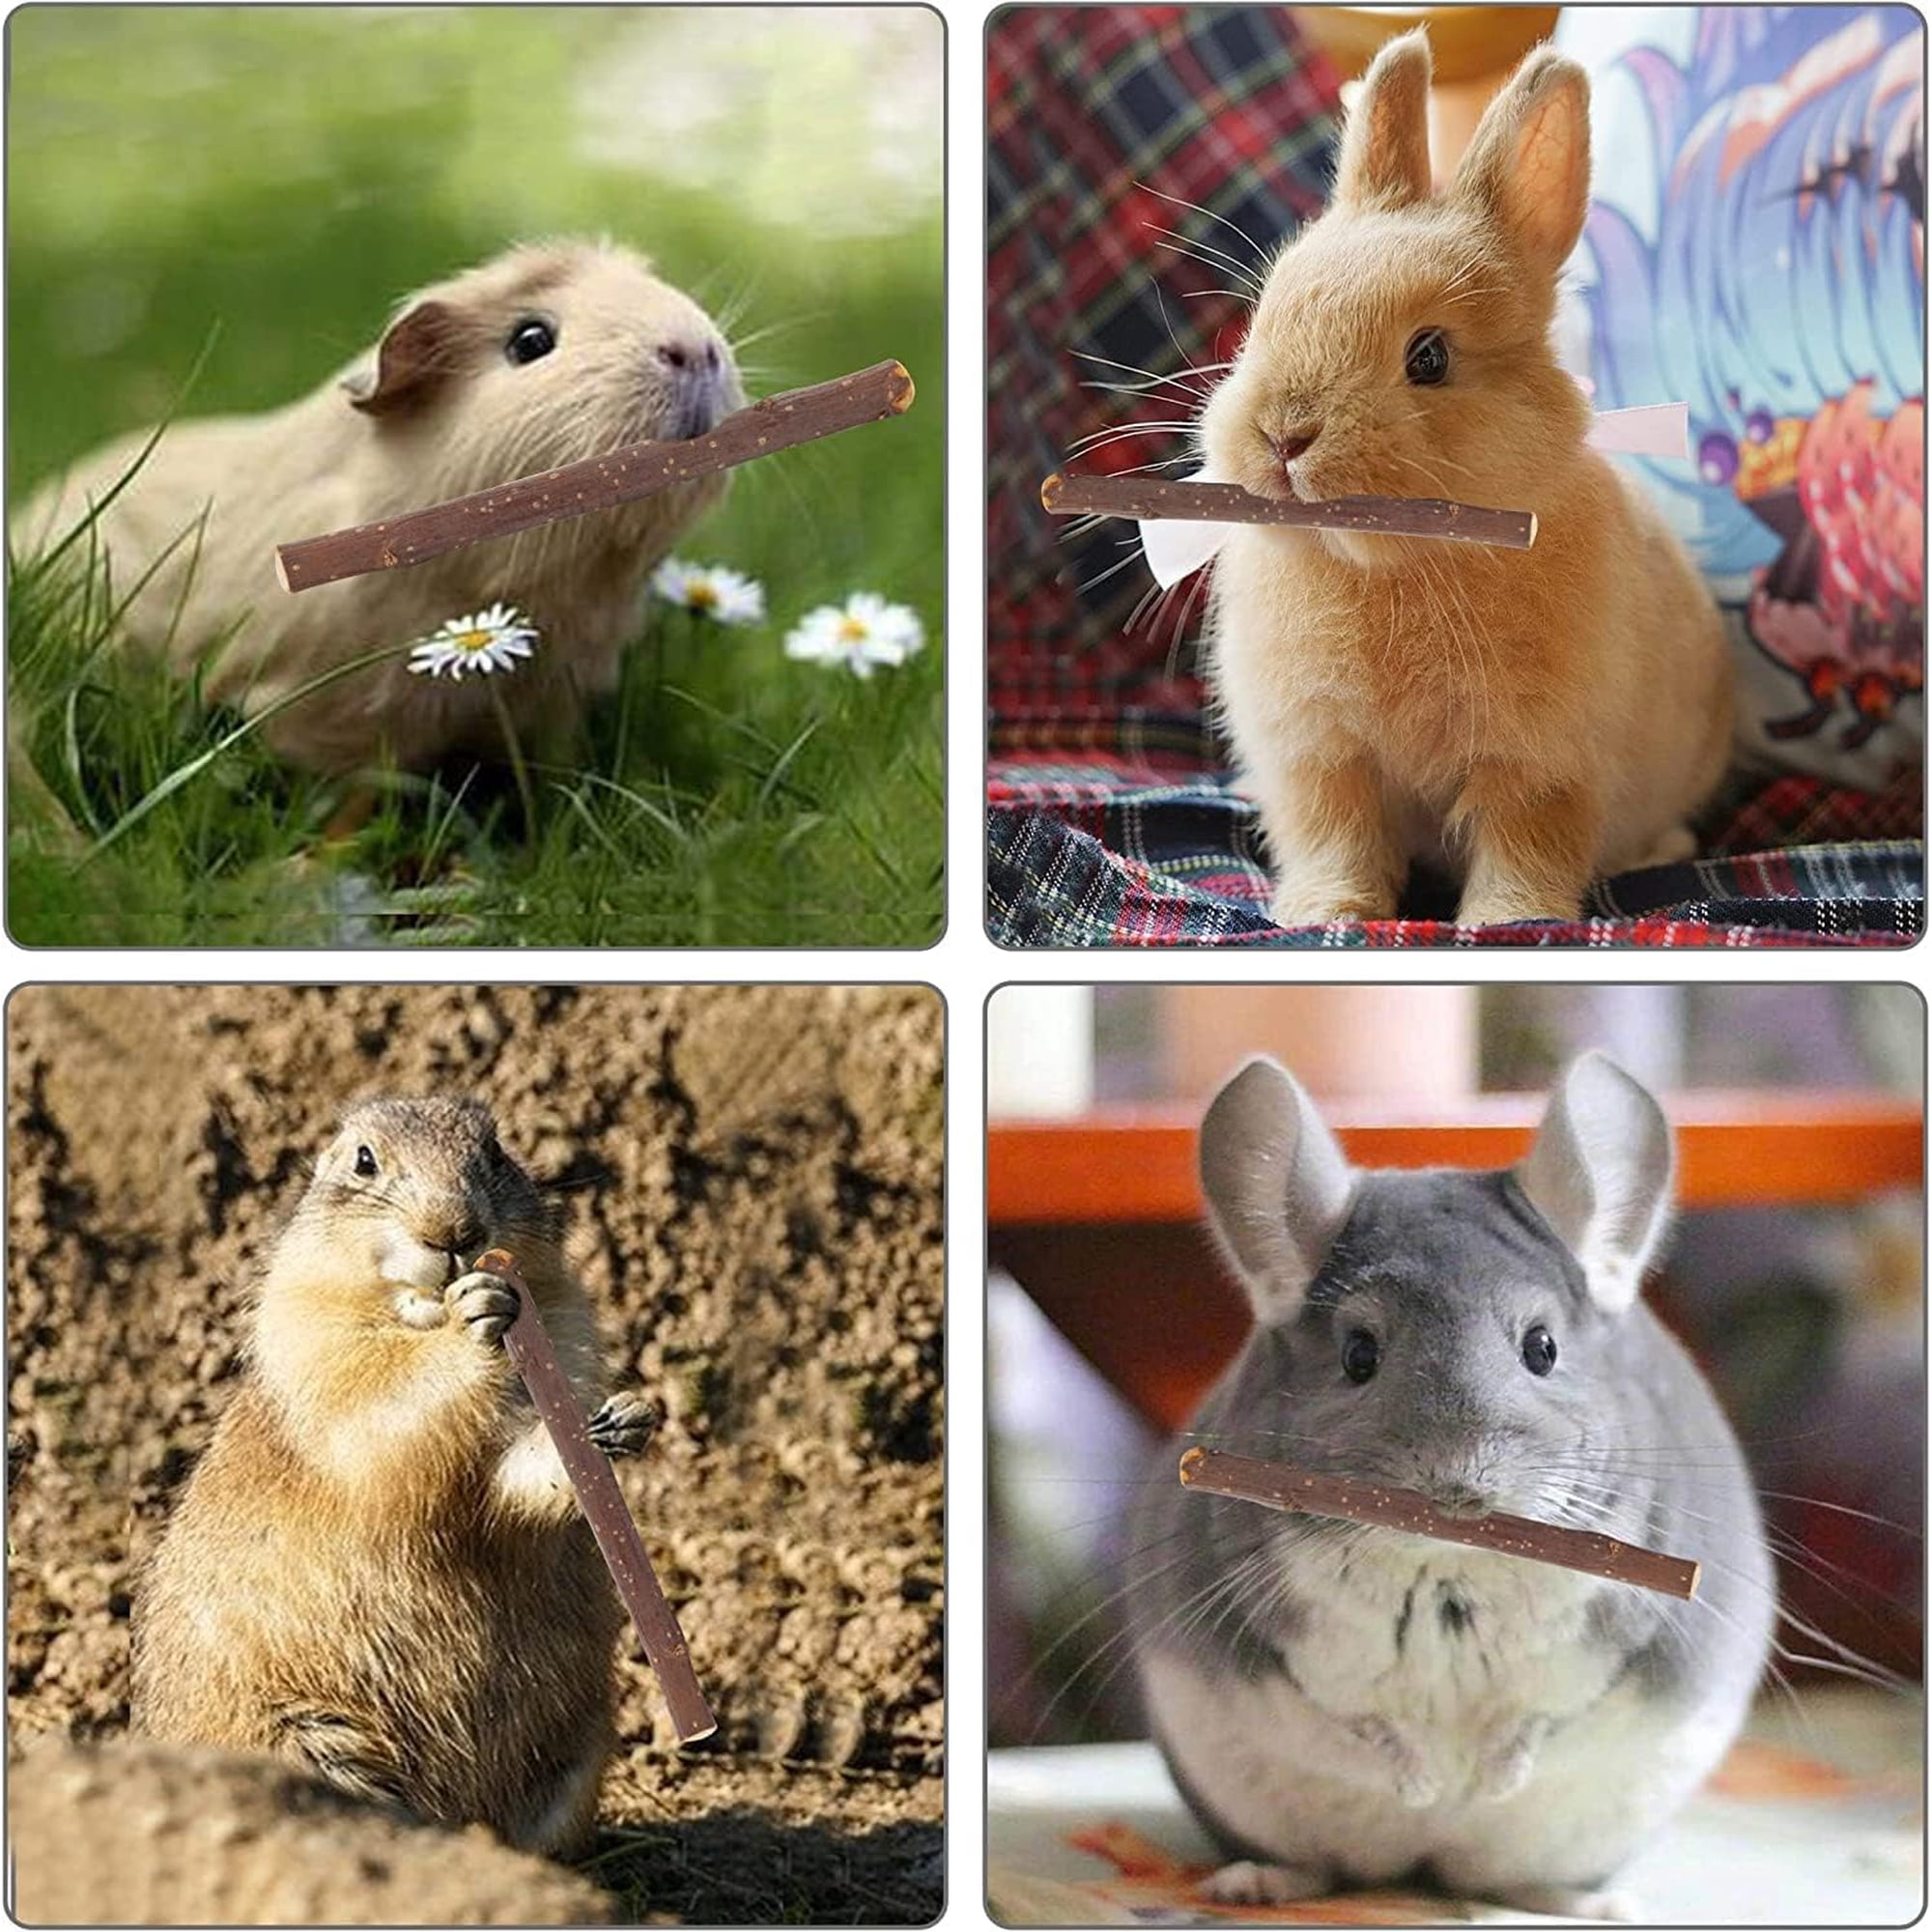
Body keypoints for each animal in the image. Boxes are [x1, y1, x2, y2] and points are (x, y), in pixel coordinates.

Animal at [131, 1098, 661, 1857]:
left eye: (495, 1151)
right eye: (364, 1160)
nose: (455, 1232)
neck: (416, 1313)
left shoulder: (564, 1327)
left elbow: (511, 1477)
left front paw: (624, 1419)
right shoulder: (317, 1347)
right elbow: (388, 1414)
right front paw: (475, 1314)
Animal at [1127, 1052, 1774, 1918]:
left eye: (1542, 1348)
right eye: (1358, 1355)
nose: (1458, 1483)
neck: (1451, 1572)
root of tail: (1428, 1871)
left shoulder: (1629, 1640)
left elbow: (1549, 1720)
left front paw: (1490, 1780)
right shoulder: (1268, 1648)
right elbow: (1352, 1725)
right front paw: (1424, 1784)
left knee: (1519, 1884)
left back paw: (1595, 1904)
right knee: (1322, 1869)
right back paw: (1258, 1883)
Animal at [1198, 31, 1734, 928]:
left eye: (1430, 358)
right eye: (1266, 314)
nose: (1282, 435)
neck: (1393, 565)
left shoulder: (1543, 764)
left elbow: (1527, 843)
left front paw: (1508, 920)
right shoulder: (1323, 759)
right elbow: (1334, 839)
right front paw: (1326, 914)